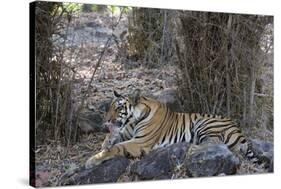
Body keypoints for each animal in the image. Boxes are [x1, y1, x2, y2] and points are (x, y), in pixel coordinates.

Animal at [84, 89, 255, 168]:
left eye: (119, 108)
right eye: (109, 107)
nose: (106, 120)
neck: (133, 120)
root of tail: (239, 130)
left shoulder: (139, 142)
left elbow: (117, 148)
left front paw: (92, 160)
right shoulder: (127, 134)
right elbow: (112, 139)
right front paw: (106, 142)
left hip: (205, 123)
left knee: (214, 143)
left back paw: (190, 150)